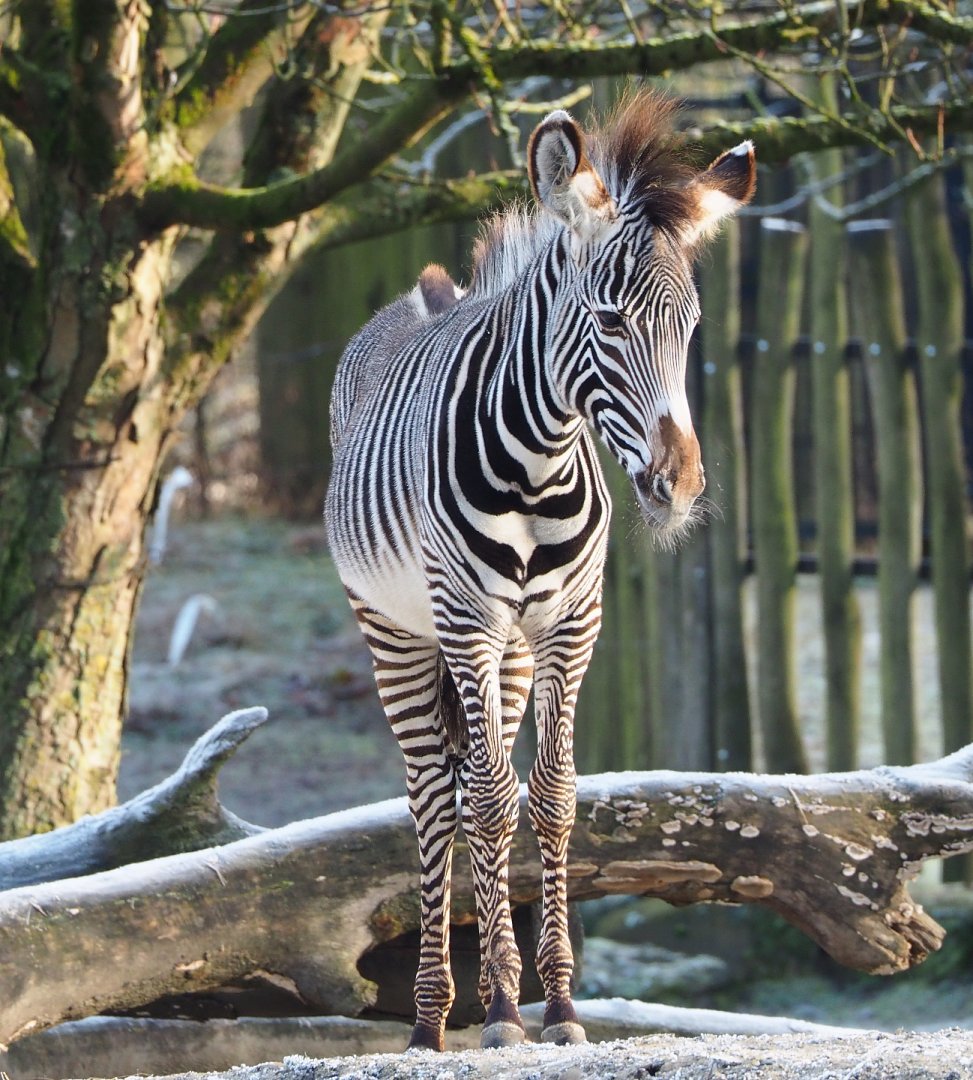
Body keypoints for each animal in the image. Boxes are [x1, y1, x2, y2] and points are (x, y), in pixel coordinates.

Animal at [325, 92, 755, 1052]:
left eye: (690, 328)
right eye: (610, 321)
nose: (679, 486)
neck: (539, 462)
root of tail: (423, 292)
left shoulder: (568, 626)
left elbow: (550, 798)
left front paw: (554, 1005)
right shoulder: (466, 622)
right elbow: (489, 801)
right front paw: (500, 1013)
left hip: (512, 653)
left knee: (470, 787)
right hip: (397, 632)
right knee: (434, 796)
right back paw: (434, 1017)